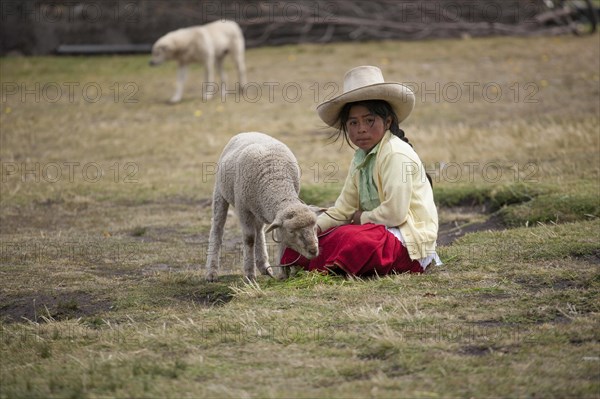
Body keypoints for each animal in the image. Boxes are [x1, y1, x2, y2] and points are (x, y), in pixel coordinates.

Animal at [205, 132, 322, 282]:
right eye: (291, 231)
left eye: (314, 227)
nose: (314, 250)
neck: (275, 179)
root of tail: (248, 132)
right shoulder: (243, 209)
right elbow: (249, 239)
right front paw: (249, 275)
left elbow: (280, 240)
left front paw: (283, 273)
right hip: (220, 192)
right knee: (217, 227)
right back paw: (212, 272)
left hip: (258, 209)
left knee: (259, 230)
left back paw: (264, 266)